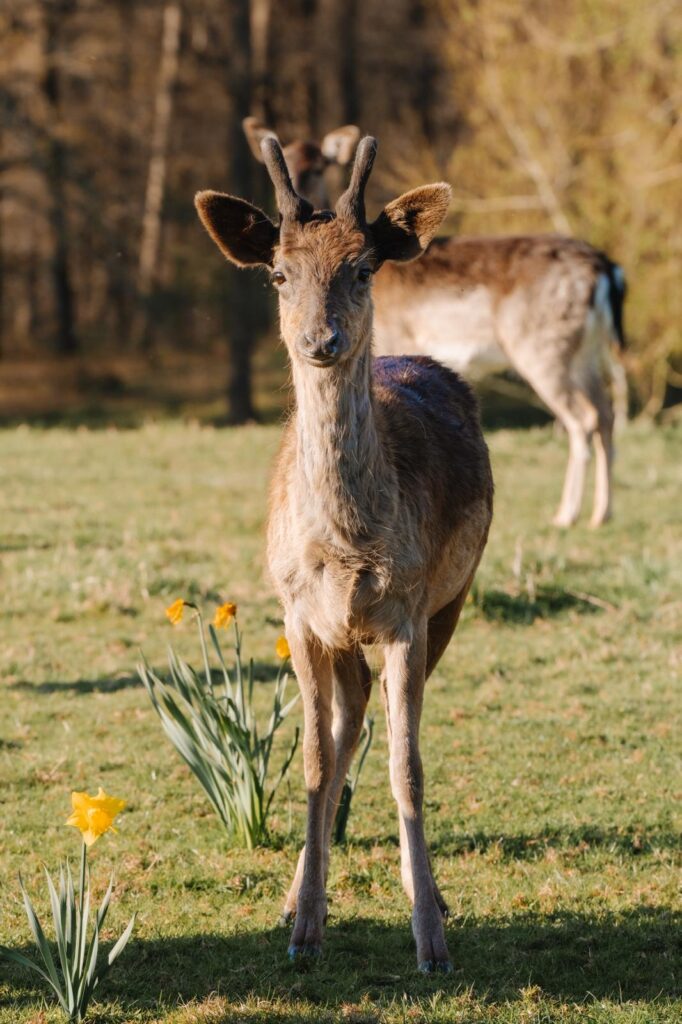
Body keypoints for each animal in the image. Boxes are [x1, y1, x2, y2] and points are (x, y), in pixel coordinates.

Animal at [195, 135, 493, 972]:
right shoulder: (297, 612)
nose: (319, 342)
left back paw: (428, 897)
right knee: (347, 723)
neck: (348, 550)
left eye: (363, 269)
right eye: (279, 273)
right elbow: (315, 761)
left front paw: (431, 940)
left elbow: (407, 766)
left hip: (454, 597)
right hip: (340, 632)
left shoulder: (409, 611)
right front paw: (304, 929)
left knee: (379, 718)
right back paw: (302, 893)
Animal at [244, 118, 627, 529]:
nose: (300, 199)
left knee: (583, 418)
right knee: (605, 412)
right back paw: (602, 512)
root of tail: (606, 268)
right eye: (286, 159)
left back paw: (567, 514)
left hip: (543, 347)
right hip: (584, 351)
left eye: (318, 166)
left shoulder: (395, 337)